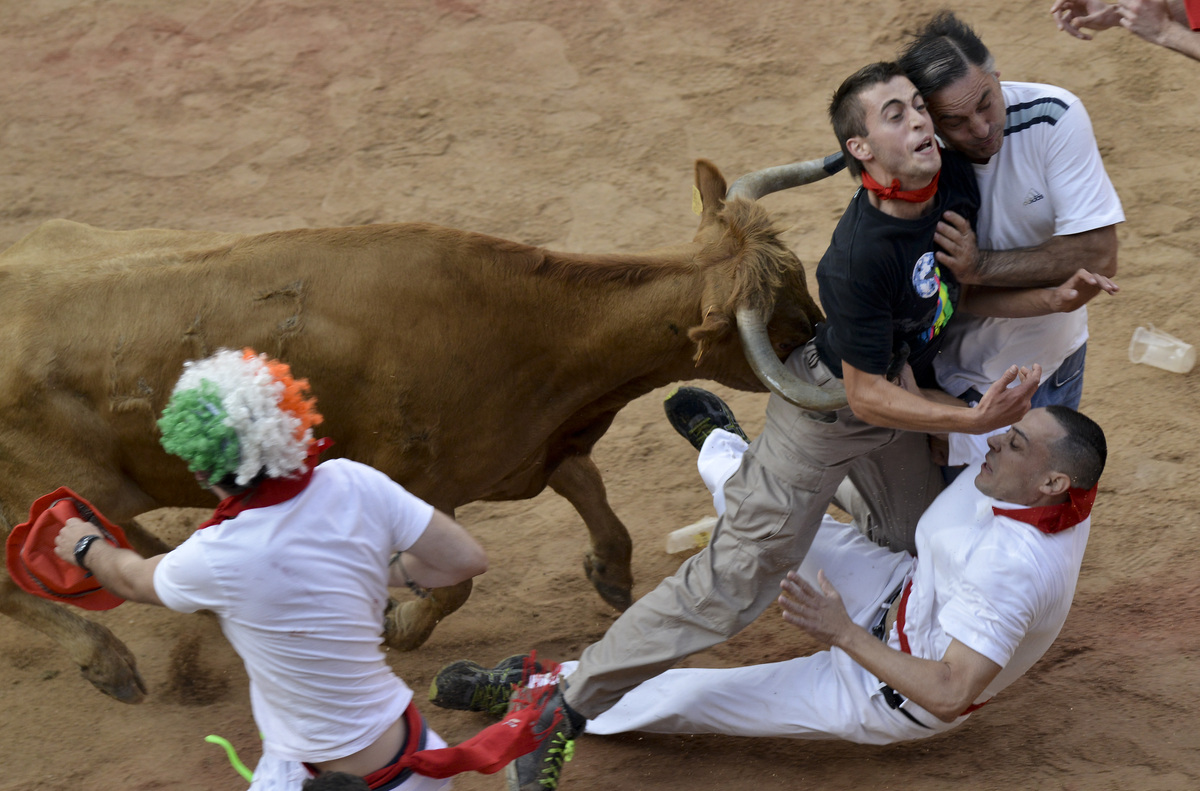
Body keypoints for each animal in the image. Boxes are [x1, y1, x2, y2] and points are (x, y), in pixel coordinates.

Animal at [0, 157, 840, 700]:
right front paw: (394, 624)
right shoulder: (416, 481)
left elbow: (592, 494)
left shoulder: (524, 448)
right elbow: (457, 582)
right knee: (20, 575)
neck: (539, 328)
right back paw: (111, 662)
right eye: (783, 319)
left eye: (804, 282)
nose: (829, 337)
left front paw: (608, 572)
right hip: (61, 485)